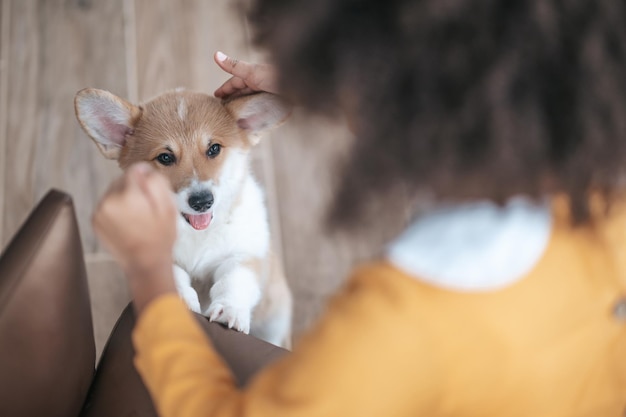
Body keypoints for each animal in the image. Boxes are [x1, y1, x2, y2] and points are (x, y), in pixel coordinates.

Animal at [75, 88, 292, 348]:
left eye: (214, 149)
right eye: (165, 157)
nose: (202, 201)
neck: (197, 233)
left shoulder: (243, 254)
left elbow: (233, 280)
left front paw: (230, 310)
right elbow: (175, 276)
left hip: (274, 315)